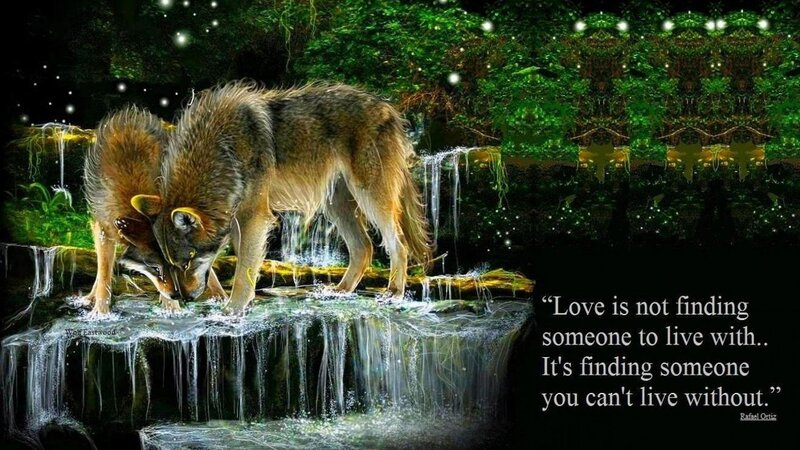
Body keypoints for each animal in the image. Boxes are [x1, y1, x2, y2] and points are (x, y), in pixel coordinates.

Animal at [83, 107, 226, 314]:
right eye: (156, 268)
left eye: (176, 267)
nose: (179, 296)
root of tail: (132, 113)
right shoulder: (103, 227)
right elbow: (104, 273)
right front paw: (100, 312)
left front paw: (172, 309)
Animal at [131, 81, 432, 314]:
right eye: (171, 264)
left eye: (186, 261)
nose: (185, 298)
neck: (220, 148)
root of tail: (389, 108)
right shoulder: (236, 219)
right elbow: (238, 264)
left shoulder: (254, 215)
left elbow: (243, 270)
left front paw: (232, 310)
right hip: (336, 205)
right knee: (363, 247)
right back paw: (340, 291)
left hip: (370, 196)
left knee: (398, 244)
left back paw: (393, 292)